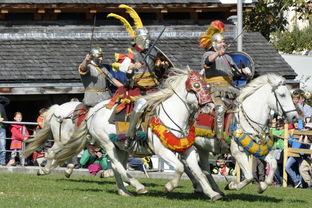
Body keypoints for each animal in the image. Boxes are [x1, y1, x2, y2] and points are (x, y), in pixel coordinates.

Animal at [51, 69, 223, 201]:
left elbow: (199, 172)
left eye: (207, 85)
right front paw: (168, 187)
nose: (211, 107)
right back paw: (139, 186)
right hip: (106, 143)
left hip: (120, 148)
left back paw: (123, 191)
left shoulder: (187, 149)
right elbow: (180, 168)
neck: (173, 116)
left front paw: (212, 193)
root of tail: (93, 111)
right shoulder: (162, 151)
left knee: (116, 167)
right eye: (196, 85)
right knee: (118, 166)